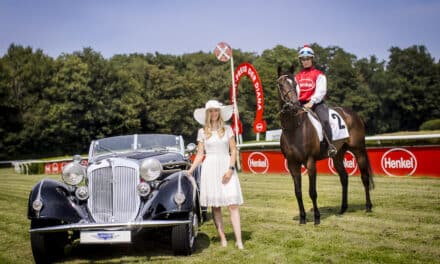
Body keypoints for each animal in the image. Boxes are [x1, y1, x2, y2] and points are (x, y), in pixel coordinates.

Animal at [276, 66, 372, 225]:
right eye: (281, 84)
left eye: (295, 84)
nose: (295, 105)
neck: (294, 127)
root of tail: (353, 114)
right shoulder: (292, 164)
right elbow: (298, 192)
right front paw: (302, 218)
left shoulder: (310, 162)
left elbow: (312, 192)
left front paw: (316, 217)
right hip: (338, 155)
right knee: (344, 178)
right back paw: (342, 209)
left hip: (358, 150)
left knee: (364, 177)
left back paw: (368, 207)